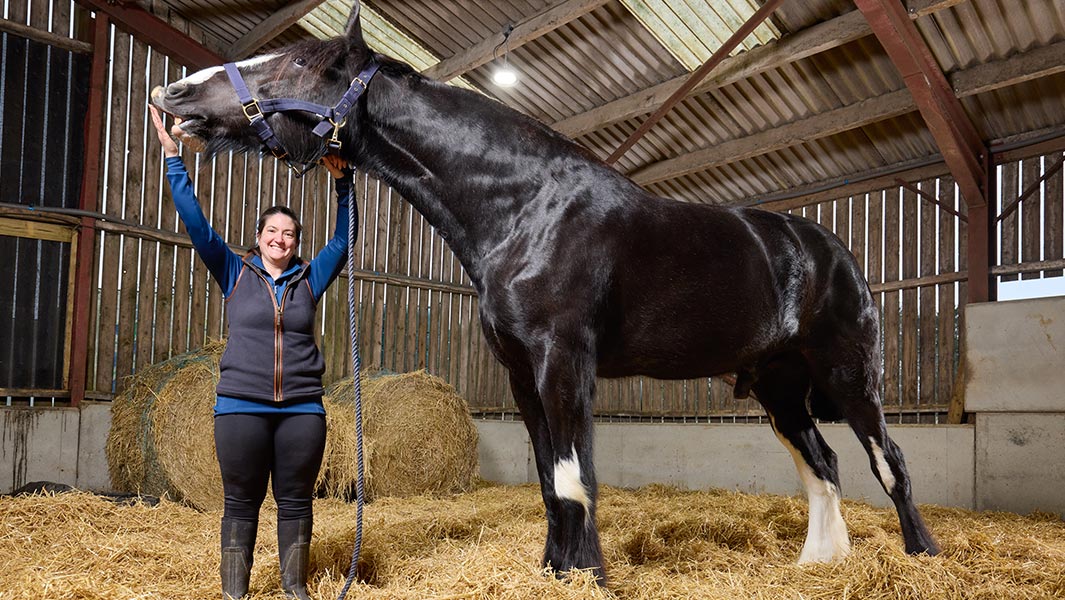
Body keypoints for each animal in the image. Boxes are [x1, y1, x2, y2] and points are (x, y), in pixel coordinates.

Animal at [150, 0, 939, 583]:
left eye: (295, 62)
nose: (173, 93)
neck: (526, 208)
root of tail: (830, 251)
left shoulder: (565, 363)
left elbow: (572, 476)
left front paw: (586, 574)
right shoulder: (521, 373)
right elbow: (546, 478)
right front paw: (557, 569)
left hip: (849, 376)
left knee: (889, 462)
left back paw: (920, 554)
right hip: (779, 388)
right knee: (823, 465)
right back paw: (819, 563)